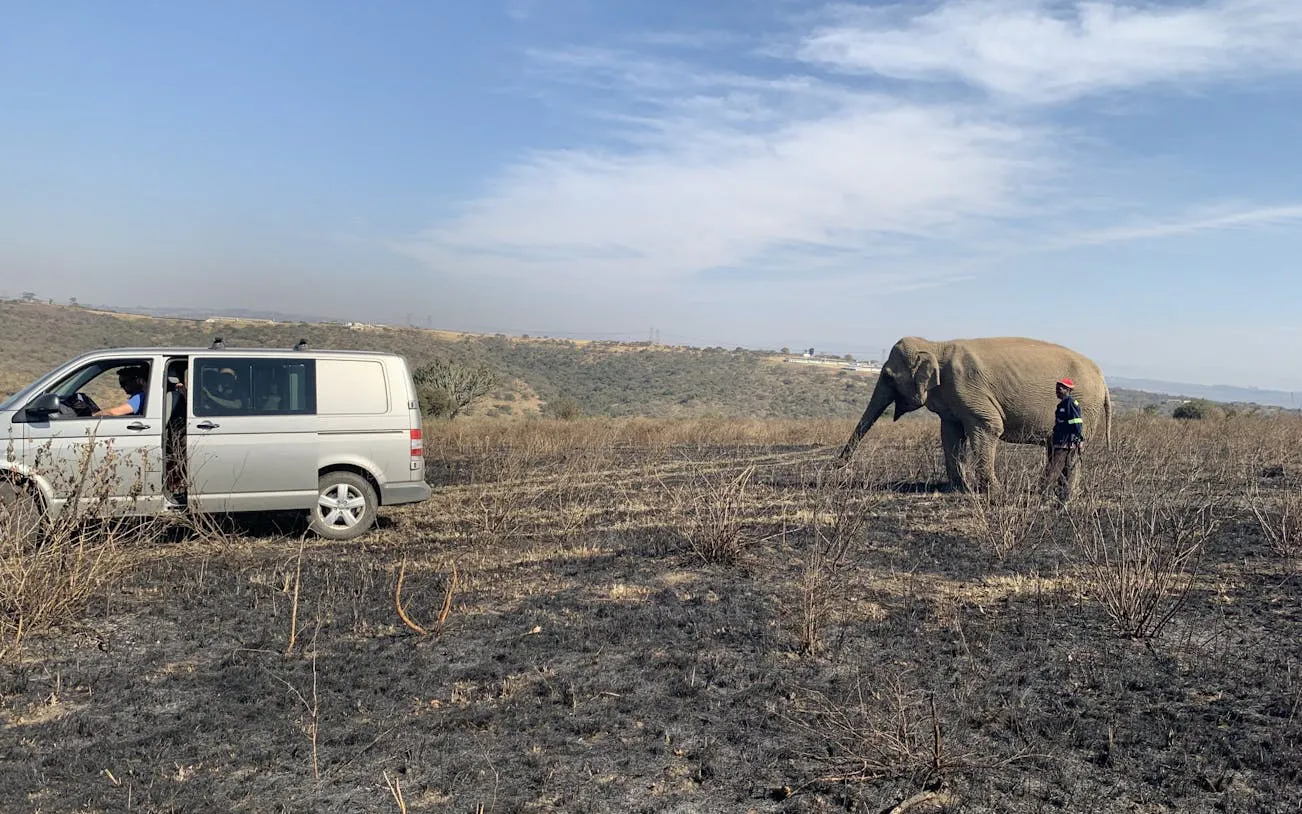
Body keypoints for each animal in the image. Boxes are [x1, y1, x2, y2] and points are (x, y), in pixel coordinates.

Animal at [836, 336, 1112, 491]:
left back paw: (1062, 496)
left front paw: (994, 492)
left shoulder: (969, 388)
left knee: (1072, 449)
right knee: (1055, 447)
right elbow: (950, 434)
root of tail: (1103, 378)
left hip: (1085, 409)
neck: (935, 345)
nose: (839, 469)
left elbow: (989, 426)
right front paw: (960, 489)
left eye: (887, 376)